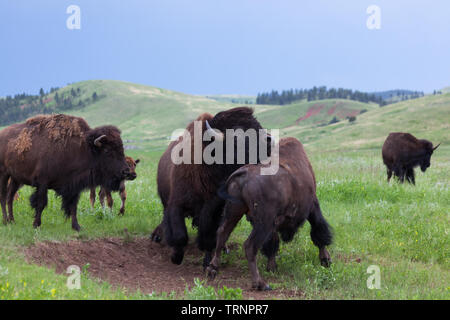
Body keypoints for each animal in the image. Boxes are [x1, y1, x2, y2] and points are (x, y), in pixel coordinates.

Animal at [0, 114, 130, 229]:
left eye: (122, 149)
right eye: (107, 151)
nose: (125, 171)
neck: (84, 148)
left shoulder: (73, 186)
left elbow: (73, 206)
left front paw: (77, 227)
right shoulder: (42, 183)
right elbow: (41, 203)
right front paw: (36, 225)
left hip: (16, 179)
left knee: (10, 197)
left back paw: (12, 220)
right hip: (4, 174)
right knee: (4, 196)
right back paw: (6, 221)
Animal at [150, 107, 270, 268]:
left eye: (258, 126)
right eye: (237, 136)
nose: (269, 141)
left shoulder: (214, 209)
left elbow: (208, 234)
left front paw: (207, 260)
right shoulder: (176, 204)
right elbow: (180, 234)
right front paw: (176, 257)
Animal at [207, 136, 330, 292]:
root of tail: (244, 174)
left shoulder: (275, 222)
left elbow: (273, 242)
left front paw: (272, 267)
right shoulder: (312, 206)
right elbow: (319, 231)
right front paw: (326, 260)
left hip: (234, 211)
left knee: (222, 233)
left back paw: (212, 268)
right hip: (262, 223)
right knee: (250, 246)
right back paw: (260, 283)